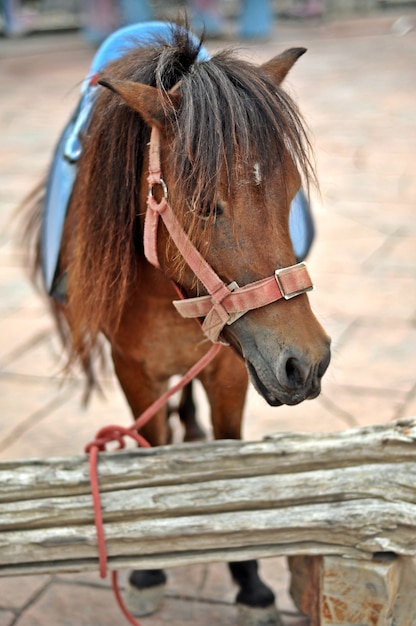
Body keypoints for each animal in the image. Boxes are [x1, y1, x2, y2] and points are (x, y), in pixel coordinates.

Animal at [25, 20, 332, 624]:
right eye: (205, 203)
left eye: (290, 195)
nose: (306, 363)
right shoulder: (132, 370)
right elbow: (152, 449)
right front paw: (148, 570)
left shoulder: (233, 370)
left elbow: (230, 458)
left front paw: (250, 582)